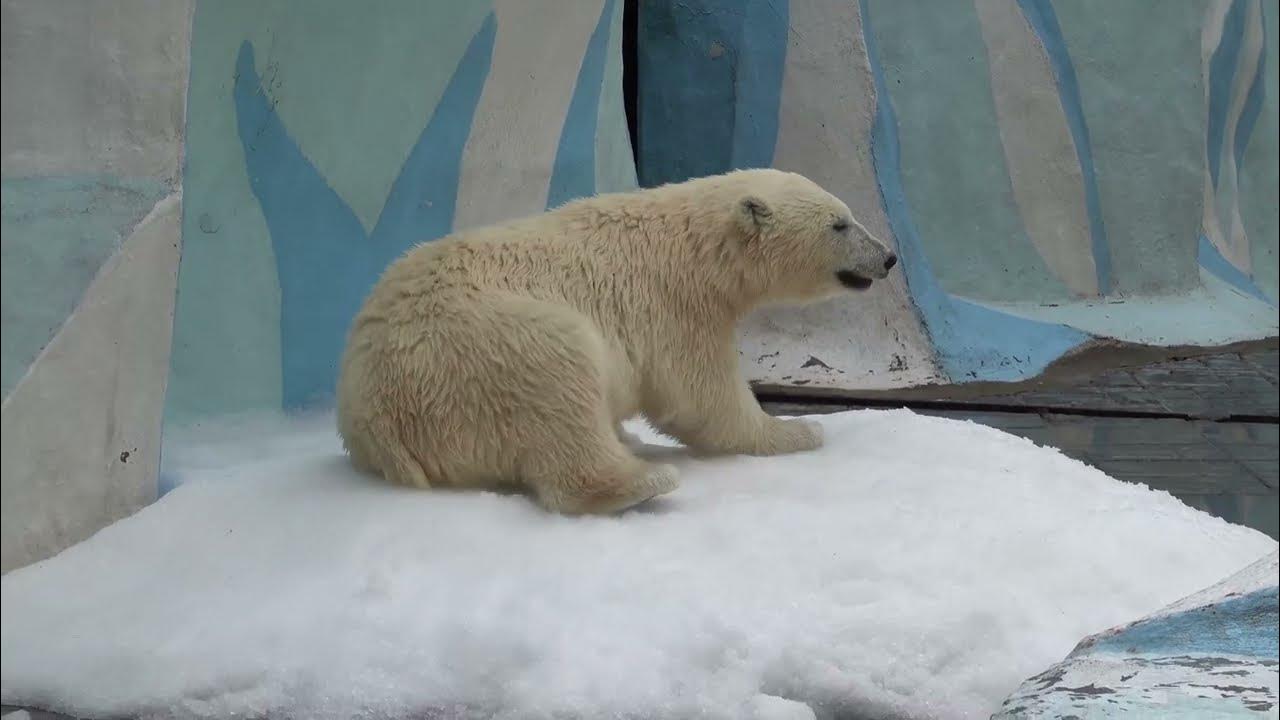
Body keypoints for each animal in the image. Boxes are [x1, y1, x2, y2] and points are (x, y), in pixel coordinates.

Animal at [340, 167, 901, 512]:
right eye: (839, 223)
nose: (889, 256)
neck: (695, 249)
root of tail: (374, 421)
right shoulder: (672, 305)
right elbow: (701, 395)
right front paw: (796, 430)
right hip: (481, 346)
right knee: (559, 378)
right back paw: (645, 481)